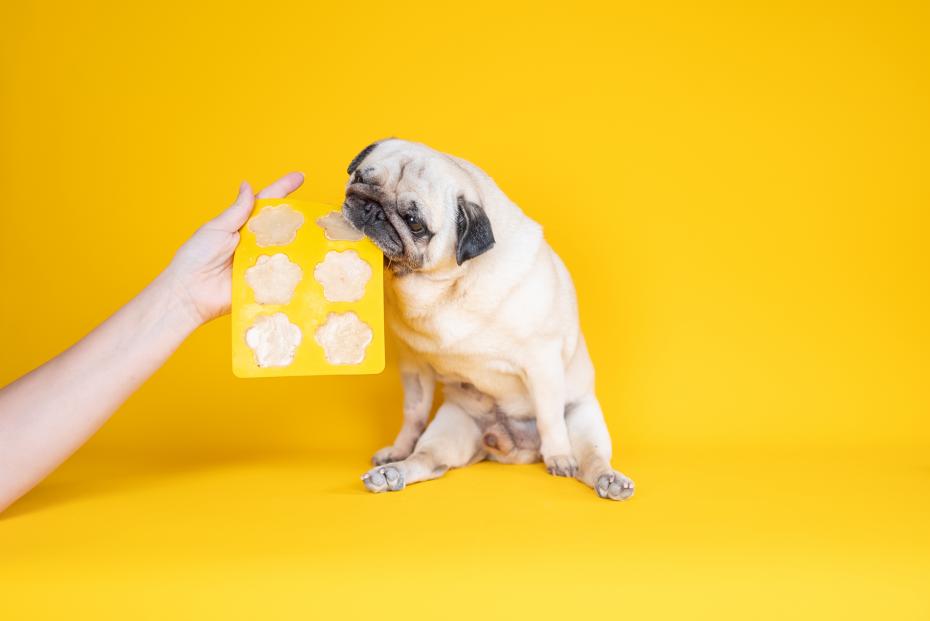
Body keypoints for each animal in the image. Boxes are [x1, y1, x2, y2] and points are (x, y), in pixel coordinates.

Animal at [344, 138, 636, 496]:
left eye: (414, 222)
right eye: (361, 178)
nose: (372, 209)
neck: (446, 290)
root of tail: (516, 451)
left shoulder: (542, 362)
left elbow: (549, 416)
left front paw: (559, 456)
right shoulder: (414, 365)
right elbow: (413, 415)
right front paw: (399, 448)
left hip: (584, 420)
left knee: (592, 460)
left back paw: (607, 479)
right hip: (452, 426)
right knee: (427, 459)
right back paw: (392, 473)